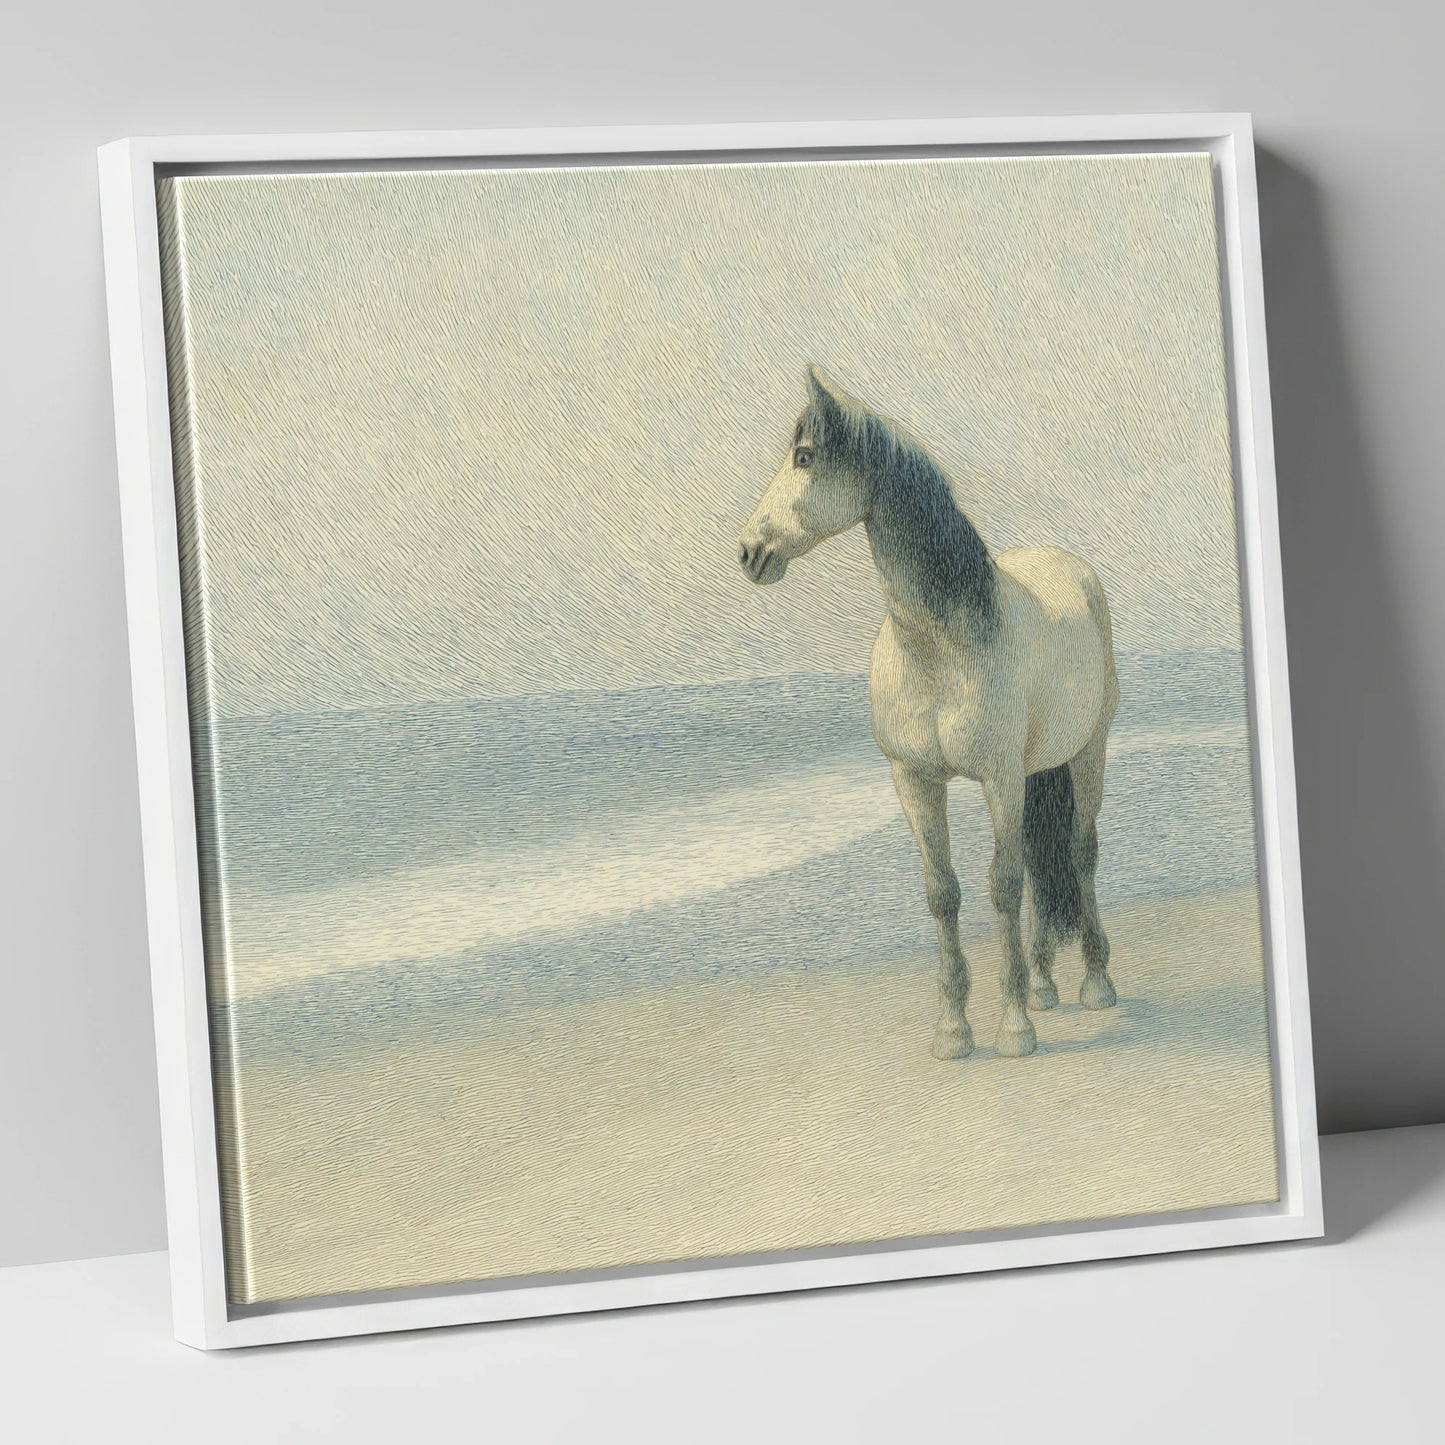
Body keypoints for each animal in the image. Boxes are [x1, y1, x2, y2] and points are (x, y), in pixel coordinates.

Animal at [738, 367, 1120, 1059]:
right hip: (1036, 770)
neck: (940, 644)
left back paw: (1095, 984)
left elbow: (1003, 885)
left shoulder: (998, 778)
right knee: (1041, 863)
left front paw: (1013, 1029)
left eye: (804, 457)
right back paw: (1044, 985)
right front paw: (953, 1030)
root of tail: (1069, 565)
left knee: (1079, 852)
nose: (750, 552)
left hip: (1087, 752)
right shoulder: (914, 780)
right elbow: (944, 894)